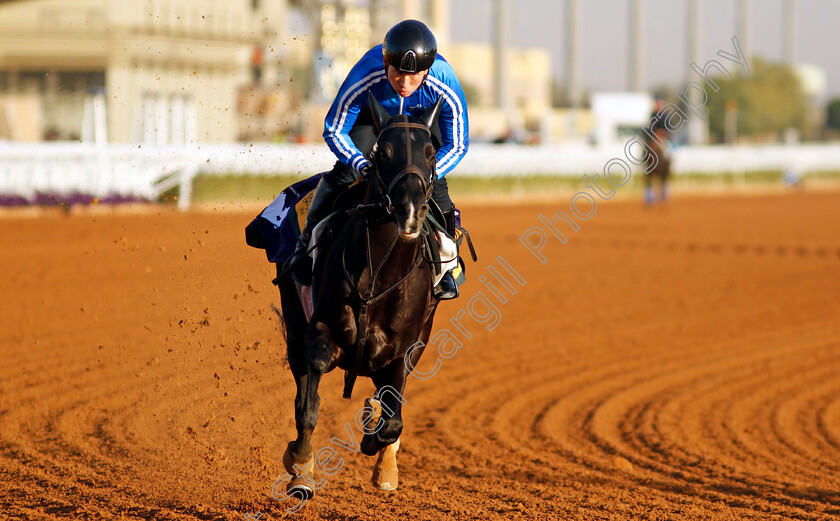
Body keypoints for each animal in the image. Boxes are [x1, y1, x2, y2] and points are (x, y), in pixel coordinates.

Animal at [276, 92, 446, 500]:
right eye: (383, 152)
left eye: (432, 152)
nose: (410, 210)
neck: (380, 274)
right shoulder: (321, 331)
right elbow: (309, 402)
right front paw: (300, 466)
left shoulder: (404, 350)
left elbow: (393, 419)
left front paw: (376, 442)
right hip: (294, 320)